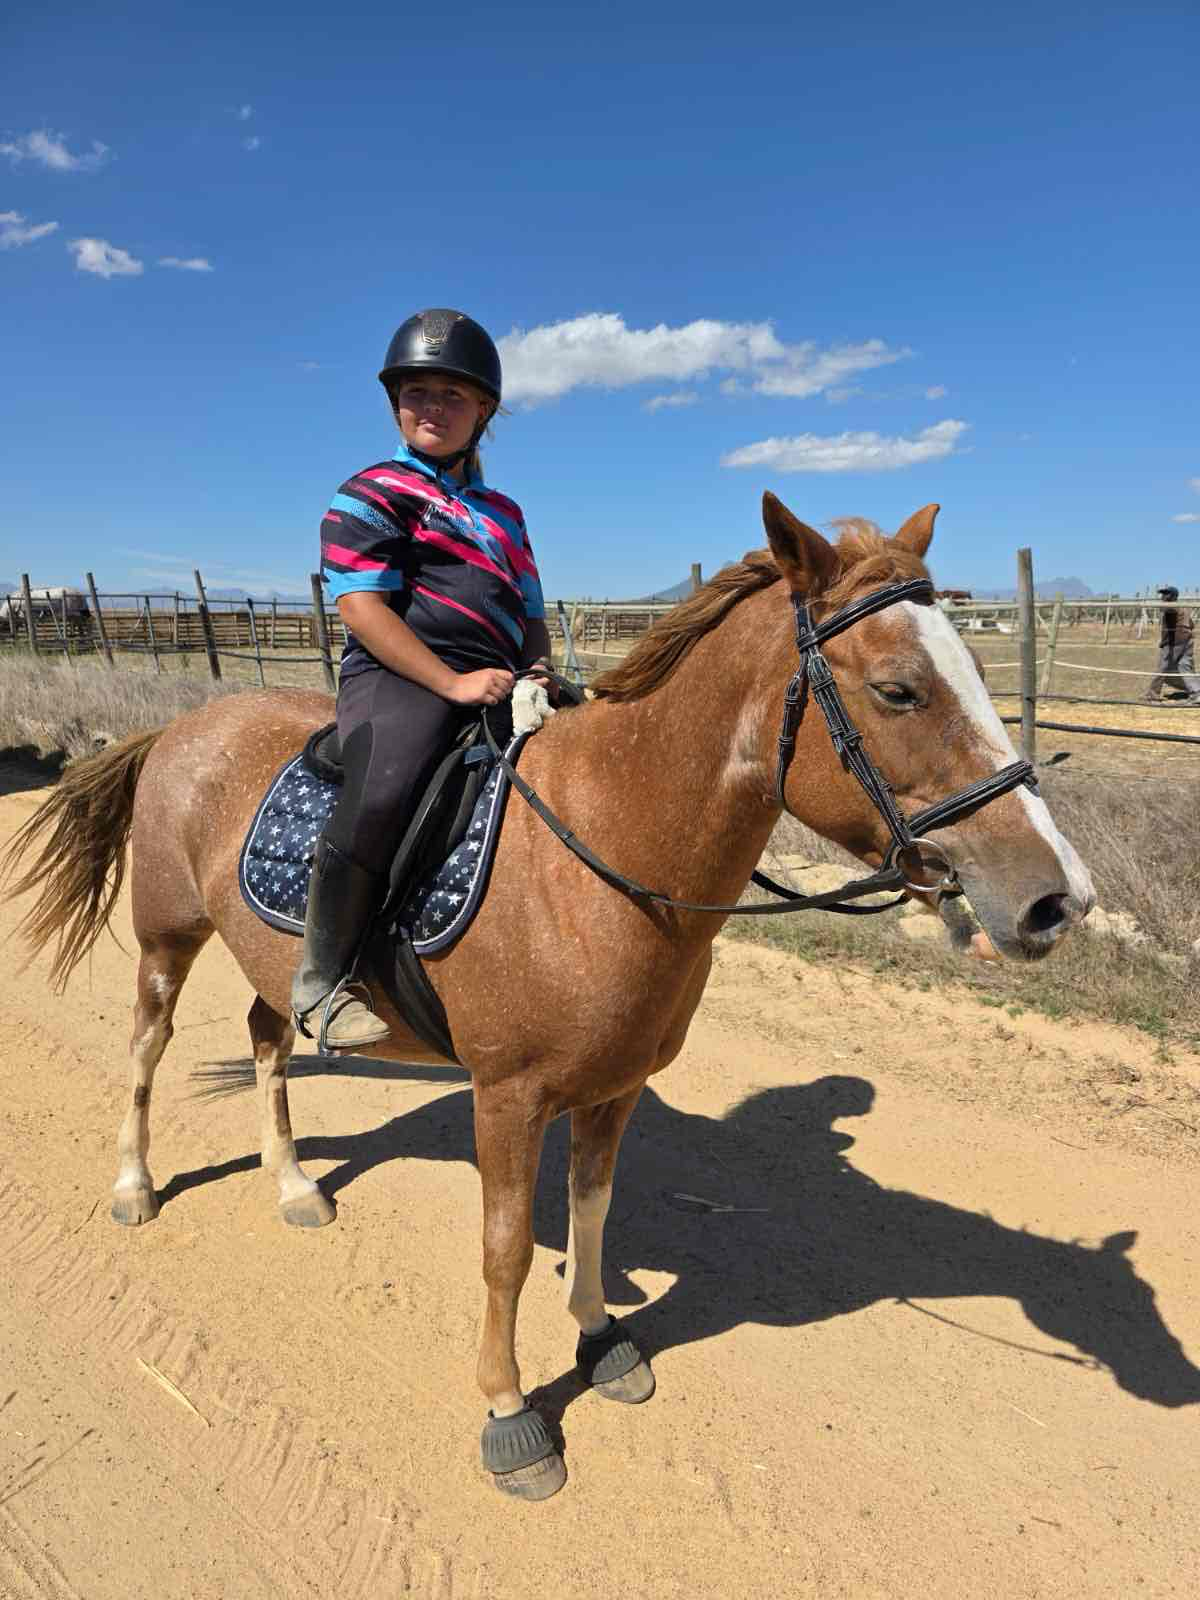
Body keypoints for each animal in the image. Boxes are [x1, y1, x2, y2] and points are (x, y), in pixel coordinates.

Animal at [5, 494, 1095, 1500]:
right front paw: (508, 1412)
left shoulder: (614, 1088)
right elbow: (506, 1252)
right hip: (165, 938)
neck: (604, 851)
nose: (1059, 899)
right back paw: (135, 1184)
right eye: (899, 689)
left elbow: (591, 1215)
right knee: (147, 1048)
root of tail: (181, 725)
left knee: (270, 1039)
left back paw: (293, 1185)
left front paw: (599, 1339)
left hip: (266, 961)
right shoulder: (508, 1097)